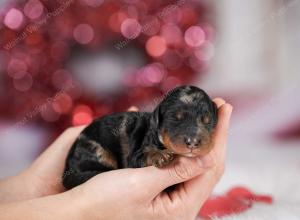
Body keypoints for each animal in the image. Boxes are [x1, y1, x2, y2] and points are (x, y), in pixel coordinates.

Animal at [63, 86, 218, 189]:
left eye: (207, 120)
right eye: (175, 119)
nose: (193, 142)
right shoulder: (135, 156)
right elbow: (145, 154)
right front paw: (160, 155)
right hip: (96, 151)